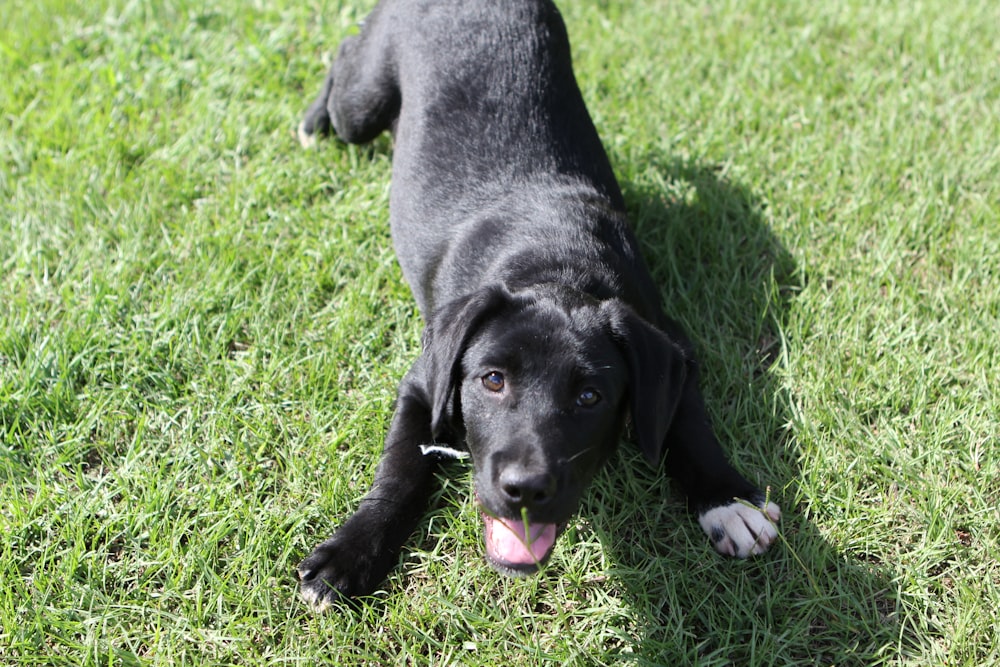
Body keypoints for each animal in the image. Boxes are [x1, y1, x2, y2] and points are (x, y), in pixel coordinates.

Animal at [292, 0, 776, 612]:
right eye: (492, 380)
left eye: (591, 397)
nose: (524, 489)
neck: (554, 265)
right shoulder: (424, 382)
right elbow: (400, 470)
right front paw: (352, 552)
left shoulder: (671, 347)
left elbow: (688, 423)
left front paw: (727, 500)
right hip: (364, 103)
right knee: (343, 60)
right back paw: (312, 122)